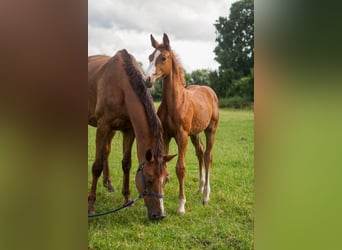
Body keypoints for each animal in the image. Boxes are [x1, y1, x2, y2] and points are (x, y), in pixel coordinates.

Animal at [88, 48, 175, 219]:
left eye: (166, 179)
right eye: (149, 179)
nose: (160, 215)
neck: (121, 86)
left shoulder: (129, 130)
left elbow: (126, 163)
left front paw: (127, 199)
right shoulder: (103, 126)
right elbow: (97, 166)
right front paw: (91, 206)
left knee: (106, 151)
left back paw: (108, 184)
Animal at [144, 34, 219, 214]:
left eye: (163, 57)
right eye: (150, 57)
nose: (147, 80)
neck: (175, 102)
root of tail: (209, 90)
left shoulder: (181, 135)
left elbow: (180, 168)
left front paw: (181, 205)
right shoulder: (166, 135)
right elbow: (162, 165)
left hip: (211, 129)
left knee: (208, 156)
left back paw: (206, 196)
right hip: (195, 133)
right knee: (200, 152)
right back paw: (200, 188)